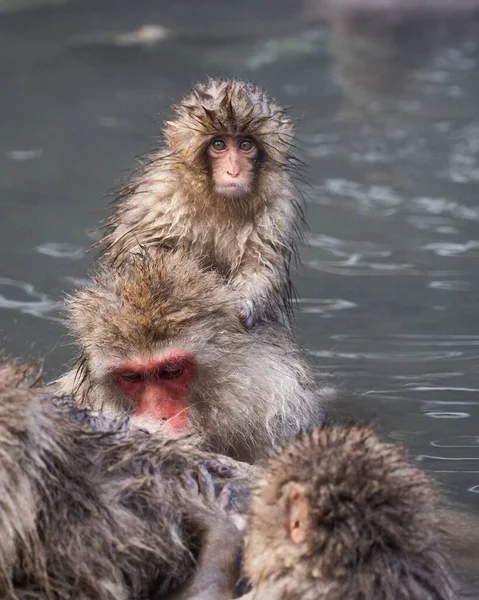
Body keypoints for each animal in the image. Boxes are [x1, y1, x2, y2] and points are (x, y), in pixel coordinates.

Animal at [97, 78, 304, 328]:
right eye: (218, 144)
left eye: (245, 145)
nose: (233, 171)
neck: (218, 202)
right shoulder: (160, 194)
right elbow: (137, 248)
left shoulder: (276, 210)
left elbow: (261, 264)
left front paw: (244, 304)